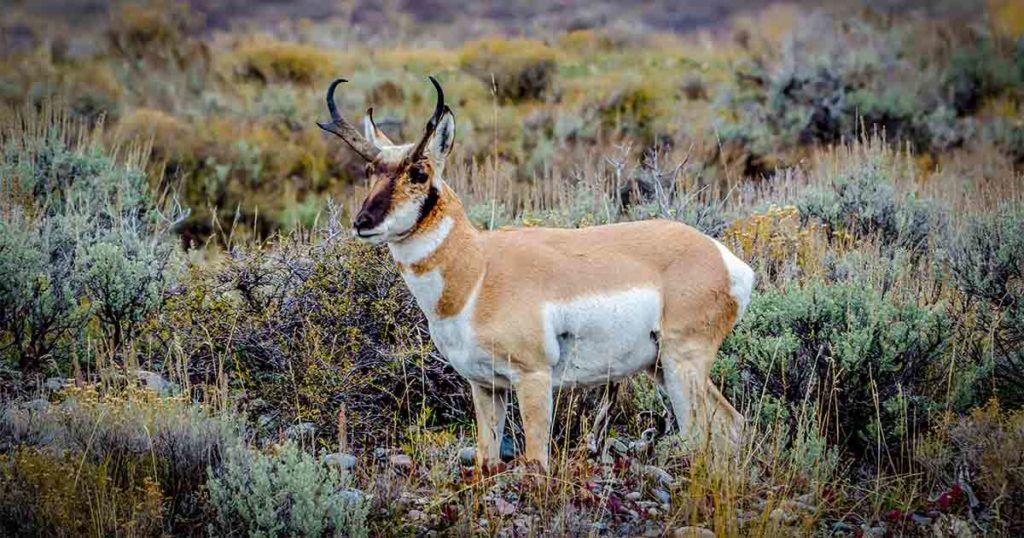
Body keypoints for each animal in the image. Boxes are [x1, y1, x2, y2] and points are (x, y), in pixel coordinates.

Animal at [317, 76, 754, 470]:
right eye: (371, 170)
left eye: (419, 173)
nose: (363, 222)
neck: (477, 271)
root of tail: (724, 258)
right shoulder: (484, 386)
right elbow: (486, 459)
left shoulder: (533, 379)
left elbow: (535, 462)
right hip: (661, 368)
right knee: (725, 428)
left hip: (682, 364)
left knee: (711, 430)